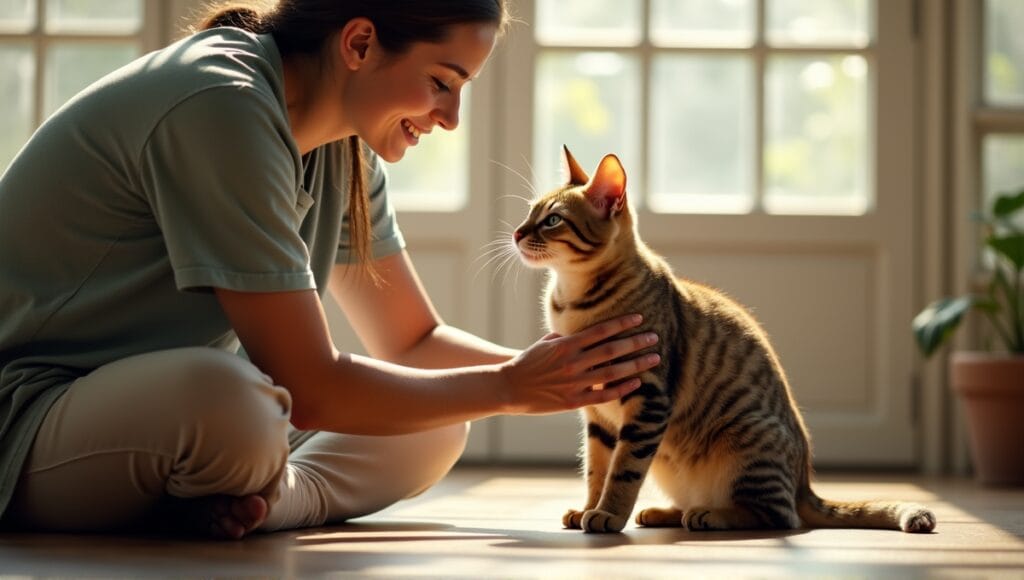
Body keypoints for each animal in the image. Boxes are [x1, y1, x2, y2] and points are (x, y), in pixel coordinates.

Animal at [512, 146, 937, 536]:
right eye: (529, 213)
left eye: (552, 220)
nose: (516, 233)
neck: (572, 299)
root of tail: (805, 485)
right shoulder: (598, 415)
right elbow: (597, 468)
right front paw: (588, 508)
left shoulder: (648, 399)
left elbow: (624, 470)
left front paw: (608, 515)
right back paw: (666, 512)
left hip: (746, 440)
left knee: (779, 516)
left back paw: (709, 515)